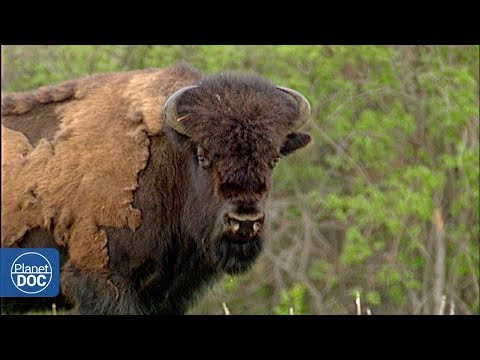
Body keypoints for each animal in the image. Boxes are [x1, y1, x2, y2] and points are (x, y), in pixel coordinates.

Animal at [1, 64, 312, 316]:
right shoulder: (105, 279)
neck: (170, 157)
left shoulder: (167, 294)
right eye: (202, 155)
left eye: (273, 159)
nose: (244, 222)